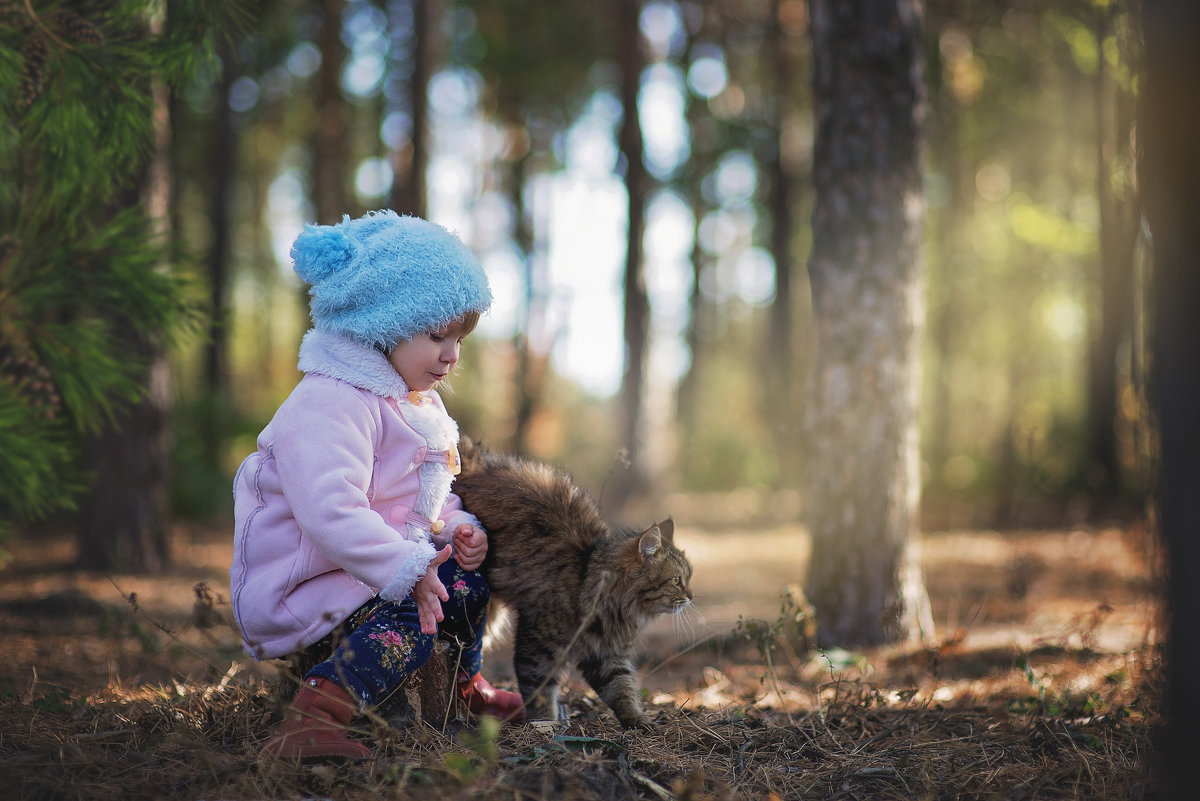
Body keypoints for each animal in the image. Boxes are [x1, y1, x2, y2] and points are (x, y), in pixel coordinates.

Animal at [451, 441, 696, 729]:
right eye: (677, 580)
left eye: (689, 577)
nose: (691, 596)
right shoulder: (536, 648)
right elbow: (539, 691)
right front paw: (545, 723)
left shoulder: (606, 657)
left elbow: (622, 690)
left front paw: (637, 720)